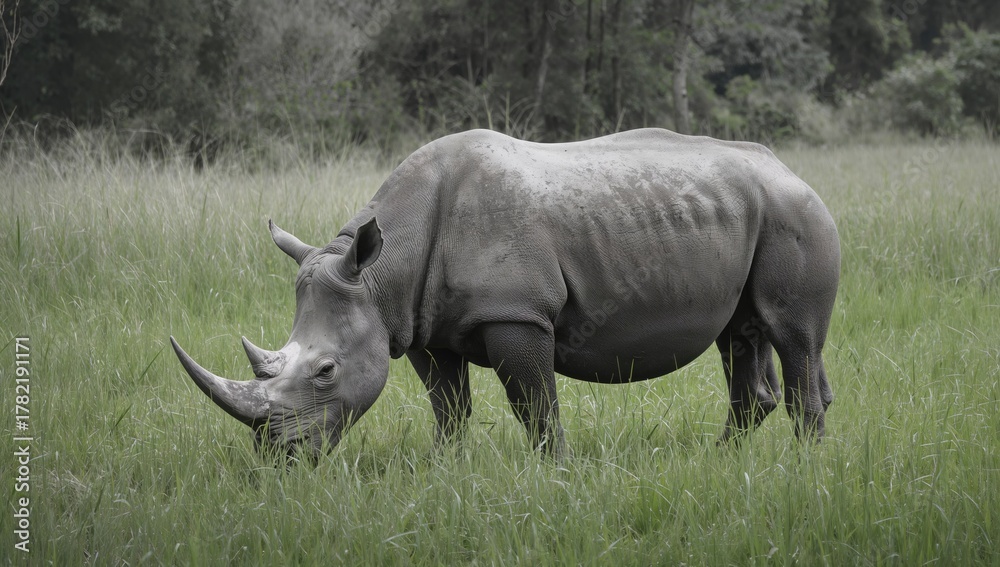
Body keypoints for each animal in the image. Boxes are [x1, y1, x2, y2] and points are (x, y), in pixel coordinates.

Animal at [171, 128, 840, 460]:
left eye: (326, 371)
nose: (277, 457)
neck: (379, 269)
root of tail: (791, 171)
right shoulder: (417, 323)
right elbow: (448, 406)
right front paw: (446, 469)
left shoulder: (518, 314)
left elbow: (536, 405)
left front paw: (557, 474)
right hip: (748, 215)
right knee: (739, 335)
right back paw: (722, 462)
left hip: (794, 215)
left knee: (792, 336)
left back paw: (800, 470)